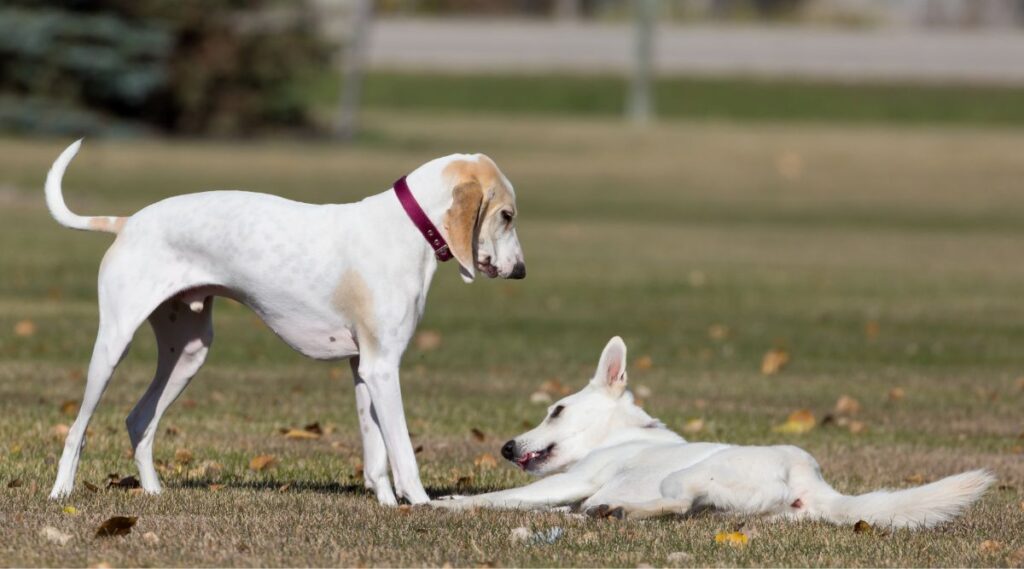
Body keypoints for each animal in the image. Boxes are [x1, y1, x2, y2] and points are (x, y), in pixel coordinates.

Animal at [44, 140, 524, 505]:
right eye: (507, 215)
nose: (520, 271)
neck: (407, 227)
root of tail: (128, 223)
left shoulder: (364, 369)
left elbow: (376, 455)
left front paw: (387, 504)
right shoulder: (384, 368)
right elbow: (403, 452)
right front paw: (422, 504)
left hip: (188, 353)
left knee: (139, 419)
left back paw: (154, 491)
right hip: (113, 346)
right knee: (78, 430)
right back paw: (61, 492)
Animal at [432, 337, 991, 528]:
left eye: (556, 410)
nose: (506, 447)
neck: (624, 436)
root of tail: (811, 481)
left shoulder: (574, 479)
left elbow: (501, 497)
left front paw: (448, 504)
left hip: (687, 479)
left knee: (675, 503)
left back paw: (620, 509)